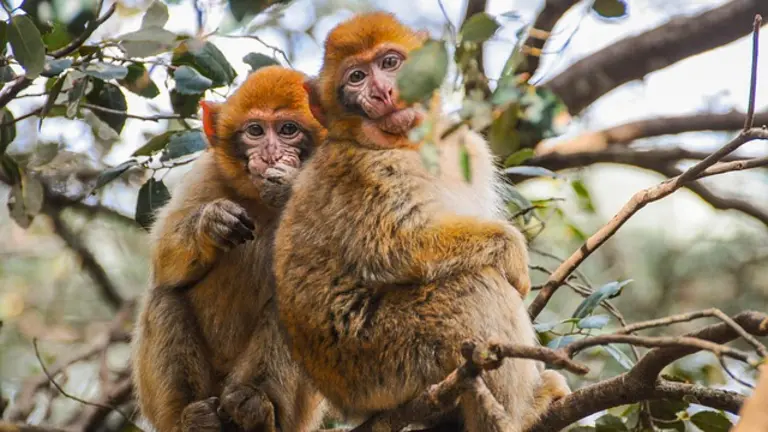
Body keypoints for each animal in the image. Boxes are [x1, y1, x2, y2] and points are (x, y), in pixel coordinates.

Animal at [131, 65, 327, 432]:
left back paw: (255, 408)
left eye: (288, 130)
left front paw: (290, 184)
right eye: (255, 130)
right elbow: (163, 262)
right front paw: (210, 224)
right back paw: (192, 419)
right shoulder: (206, 175)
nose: (269, 155)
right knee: (165, 295)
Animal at [273, 12, 569, 432]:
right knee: (475, 285)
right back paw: (520, 415)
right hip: (383, 358)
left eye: (389, 63)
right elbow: (394, 247)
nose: (382, 92)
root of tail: (346, 403)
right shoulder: (367, 171)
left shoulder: (467, 146)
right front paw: (512, 252)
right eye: (356, 77)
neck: (408, 143)